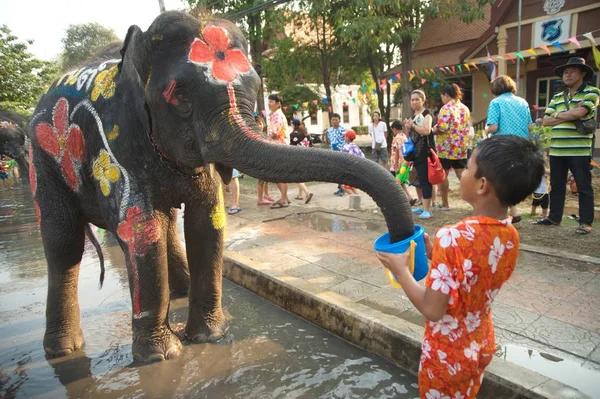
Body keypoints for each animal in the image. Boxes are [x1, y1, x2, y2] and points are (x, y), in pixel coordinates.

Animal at [28, 10, 412, 364]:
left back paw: (179, 293)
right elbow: (141, 230)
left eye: (257, 88)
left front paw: (211, 336)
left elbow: (207, 223)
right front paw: (161, 356)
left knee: (165, 224)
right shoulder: (115, 144)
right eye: (180, 96)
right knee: (64, 240)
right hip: (40, 161)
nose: (400, 244)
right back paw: (63, 350)